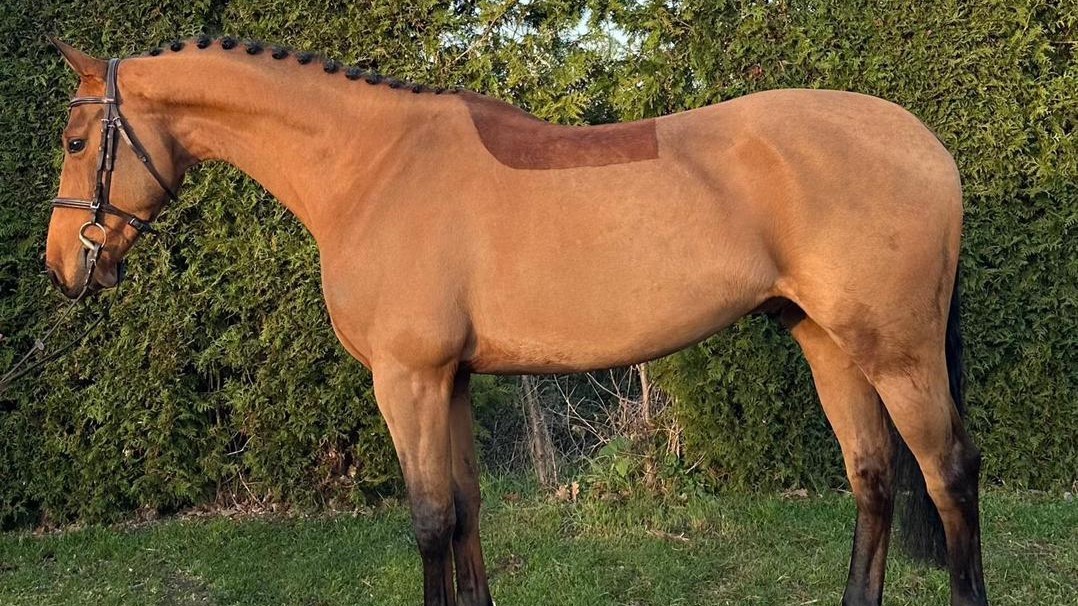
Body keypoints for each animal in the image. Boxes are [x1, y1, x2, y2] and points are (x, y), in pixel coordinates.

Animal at [42, 36, 988, 606]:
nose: (62, 266)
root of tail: (924, 143)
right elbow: (465, 510)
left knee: (948, 473)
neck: (372, 168)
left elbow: (429, 519)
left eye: (77, 143)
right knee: (873, 478)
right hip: (827, 342)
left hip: (898, 352)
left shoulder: (409, 380)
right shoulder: (452, 380)